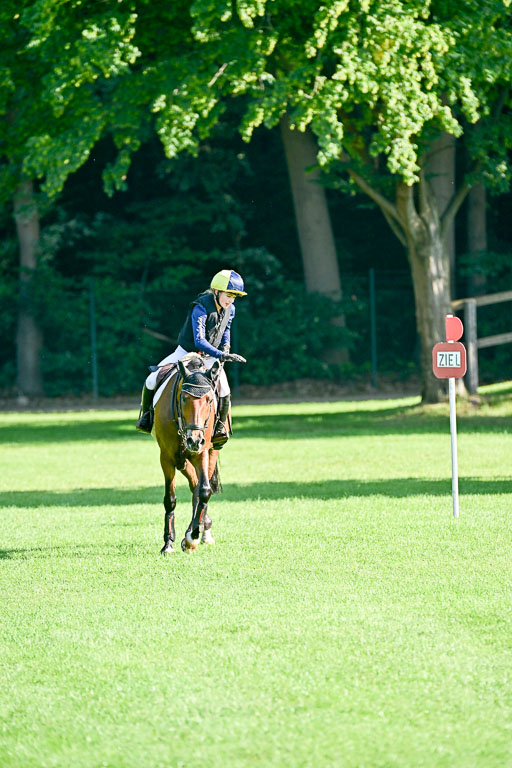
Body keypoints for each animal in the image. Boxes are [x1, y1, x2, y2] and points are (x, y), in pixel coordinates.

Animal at [153, 355, 224, 554]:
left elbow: (204, 491)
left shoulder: (202, 452)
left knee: (199, 487)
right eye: (184, 398)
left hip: (209, 451)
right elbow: (170, 498)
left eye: (209, 400)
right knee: (193, 483)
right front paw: (168, 543)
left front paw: (192, 537)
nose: (194, 439)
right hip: (182, 459)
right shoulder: (167, 457)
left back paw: (200, 531)